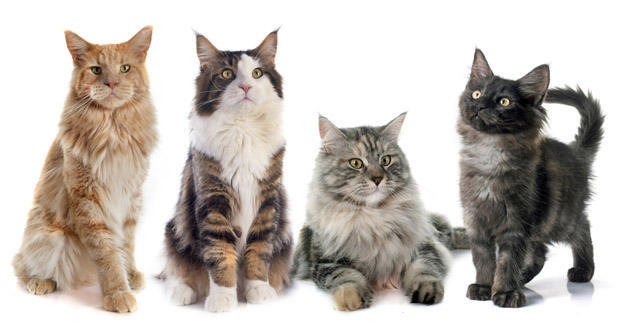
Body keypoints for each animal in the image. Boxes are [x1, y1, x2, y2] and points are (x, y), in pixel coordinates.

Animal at [12, 26, 157, 312]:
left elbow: (127, 245)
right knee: (22, 265)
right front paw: (117, 292)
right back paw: (40, 282)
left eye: (125, 68)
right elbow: (107, 254)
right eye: (96, 70)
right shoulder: (88, 200)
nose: (111, 83)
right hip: (51, 237)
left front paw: (130, 274)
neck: (114, 129)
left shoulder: (131, 197)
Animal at [162, 30, 294, 312]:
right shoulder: (213, 202)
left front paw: (258, 290)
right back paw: (183, 292)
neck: (242, 130)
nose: (245, 87)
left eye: (257, 73)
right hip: (173, 230)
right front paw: (223, 297)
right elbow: (220, 254)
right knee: (177, 270)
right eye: (226, 74)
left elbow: (259, 252)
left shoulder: (267, 201)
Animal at [294, 114, 468, 312]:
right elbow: (347, 276)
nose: (377, 178)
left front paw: (426, 290)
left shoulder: (424, 246)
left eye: (386, 160)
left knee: (453, 234)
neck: (374, 216)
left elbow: (423, 269)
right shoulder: (326, 262)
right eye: (356, 163)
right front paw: (352, 299)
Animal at [458, 48, 604, 306]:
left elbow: (507, 260)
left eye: (504, 101)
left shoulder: (515, 222)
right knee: (539, 252)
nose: (480, 106)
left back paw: (583, 270)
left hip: (559, 218)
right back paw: (523, 278)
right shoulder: (475, 220)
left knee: (582, 227)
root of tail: (575, 152)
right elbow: (483, 258)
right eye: (476, 94)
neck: (489, 152)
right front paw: (485, 286)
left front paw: (505, 292)